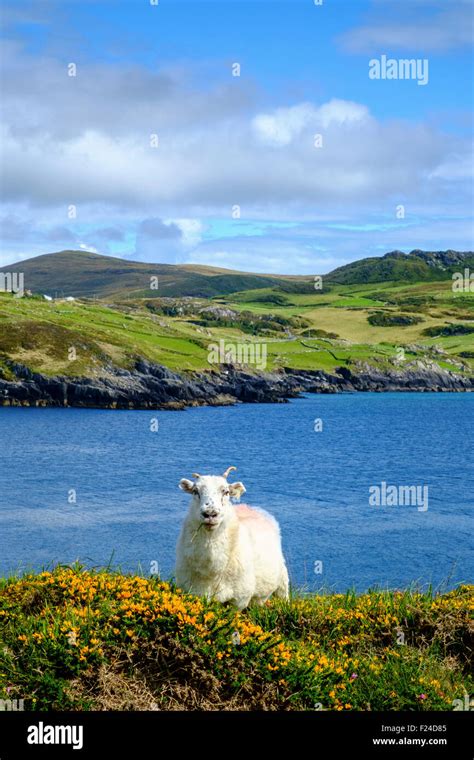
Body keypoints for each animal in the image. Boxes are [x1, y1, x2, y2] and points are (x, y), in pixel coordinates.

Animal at [176, 466, 288, 608]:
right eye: (195, 491)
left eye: (226, 492)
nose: (210, 514)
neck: (212, 570)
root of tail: (250, 507)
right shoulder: (192, 592)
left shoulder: (240, 599)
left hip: (282, 581)